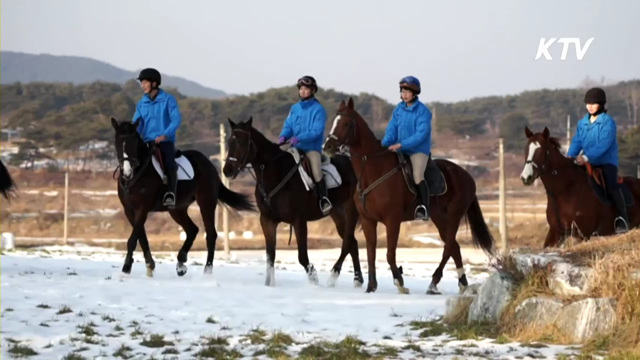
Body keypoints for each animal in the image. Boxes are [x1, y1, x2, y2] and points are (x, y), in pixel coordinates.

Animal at [111, 117, 256, 276]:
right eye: (117, 142)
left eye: (134, 143)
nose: (127, 172)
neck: (137, 174)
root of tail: (210, 164)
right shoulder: (129, 211)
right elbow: (141, 236)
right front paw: (149, 263)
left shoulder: (143, 209)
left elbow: (133, 238)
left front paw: (126, 267)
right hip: (177, 209)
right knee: (192, 230)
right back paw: (181, 262)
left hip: (206, 202)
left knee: (210, 234)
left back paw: (207, 270)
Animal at [320, 97, 496, 294]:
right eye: (334, 121)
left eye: (346, 123)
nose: (327, 146)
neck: (374, 171)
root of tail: (467, 175)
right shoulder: (368, 220)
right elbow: (371, 253)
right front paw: (371, 286)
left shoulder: (392, 220)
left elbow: (389, 254)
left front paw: (399, 282)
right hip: (440, 218)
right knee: (454, 247)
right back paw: (461, 284)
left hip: (453, 217)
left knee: (449, 246)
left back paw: (434, 282)